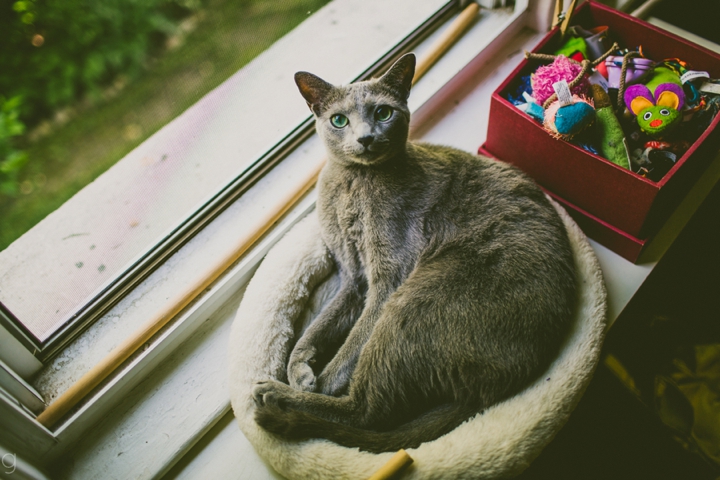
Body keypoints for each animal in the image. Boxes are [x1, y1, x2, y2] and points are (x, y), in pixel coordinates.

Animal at [253, 53, 580, 454]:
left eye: (383, 113)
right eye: (339, 120)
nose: (365, 137)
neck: (353, 184)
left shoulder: (388, 279)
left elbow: (350, 348)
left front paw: (317, 381)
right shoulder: (353, 278)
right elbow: (317, 326)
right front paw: (299, 369)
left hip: (412, 303)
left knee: (366, 413)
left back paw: (276, 403)